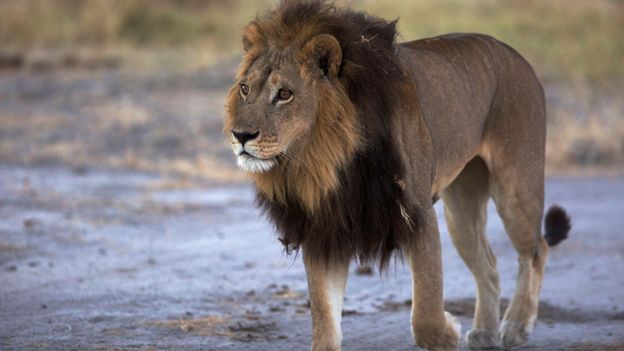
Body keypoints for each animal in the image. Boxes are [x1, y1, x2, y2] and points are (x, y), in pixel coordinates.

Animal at [223, 1, 572, 350]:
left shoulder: (418, 213)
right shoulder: (326, 227)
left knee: (536, 250)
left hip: (515, 189)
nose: (240, 135)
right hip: (462, 210)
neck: (324, 157)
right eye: (244, 89)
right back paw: (485, 332)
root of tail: (516, 55)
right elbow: (324, 316)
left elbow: (427, 305)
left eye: (284, 94)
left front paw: (446, 333)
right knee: (489, 265)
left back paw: (516, 325)